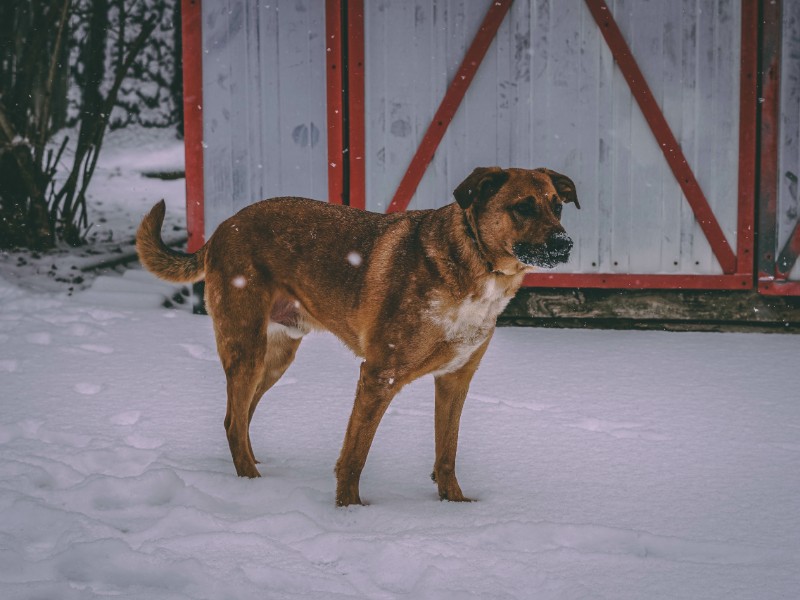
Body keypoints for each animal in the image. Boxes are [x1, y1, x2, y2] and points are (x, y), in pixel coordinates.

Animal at [136, 166, 576, 504]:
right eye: (522, 207)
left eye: (557, 206)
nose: (565, 243)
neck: (477, 266)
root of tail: (221, 228)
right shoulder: (379, 376)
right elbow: (355, 455)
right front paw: (350, 512)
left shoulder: (455, 379)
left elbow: (446, 453)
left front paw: (454, 505)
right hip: (247, 348)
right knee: (232, 421)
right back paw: (253, 487)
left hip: (275, 357)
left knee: (239, 417)